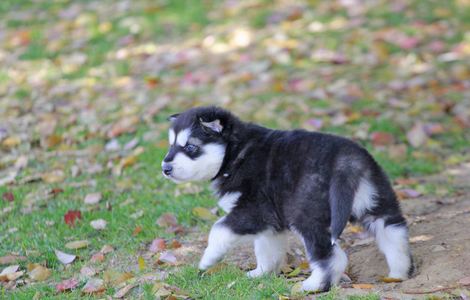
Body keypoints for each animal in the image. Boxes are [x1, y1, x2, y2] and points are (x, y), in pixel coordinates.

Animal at [162, 106, 412, 292]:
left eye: (190, 147)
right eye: (171, 145)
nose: (165, 168)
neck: (236, 153)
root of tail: (347, 160)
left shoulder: (254, 210)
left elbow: (218, 230)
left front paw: (208, 259)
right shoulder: (271, 223)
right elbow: (266, 249)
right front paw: (260, 273)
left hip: (306, 215)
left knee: (332, 256)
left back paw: (314, 285)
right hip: (377, 203)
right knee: (394, 233)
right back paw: (399, 273)